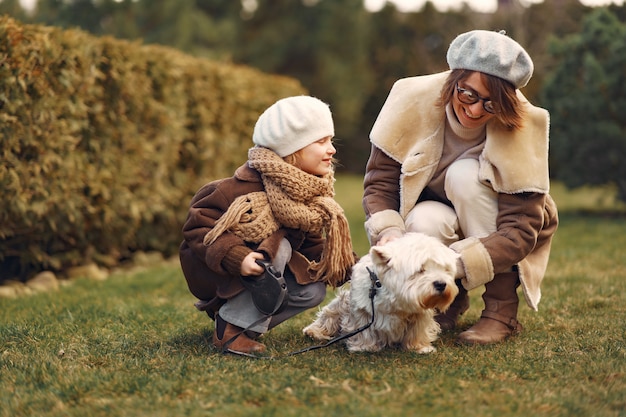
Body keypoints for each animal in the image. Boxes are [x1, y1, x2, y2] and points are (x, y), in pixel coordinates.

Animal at [302, 232, 458, 352]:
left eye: (445, 269)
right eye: (420, 270)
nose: (441, 284)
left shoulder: (420, 314)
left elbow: (417, 329)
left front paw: (419, 347)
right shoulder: (362, 310)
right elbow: (363, 329)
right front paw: (365, 347)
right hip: (341, 303)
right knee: (329, 315)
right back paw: (314, 332)